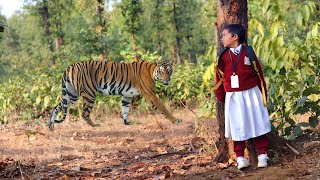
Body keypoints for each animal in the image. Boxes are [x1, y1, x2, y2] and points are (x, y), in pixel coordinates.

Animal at [48, 59, 181, 129]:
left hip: (71, 94)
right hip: (89, 93)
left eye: (169, 71)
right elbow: (163, 107)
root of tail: (70, 66)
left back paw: (50, 125)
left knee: (56, 107)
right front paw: (175, 120)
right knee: (84, 113)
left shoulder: (127, 95)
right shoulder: (150, 94)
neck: (152, 71)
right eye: (162, 72)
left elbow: (125, 109)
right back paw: (95, 125)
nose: (167, 81)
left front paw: (127, 122)